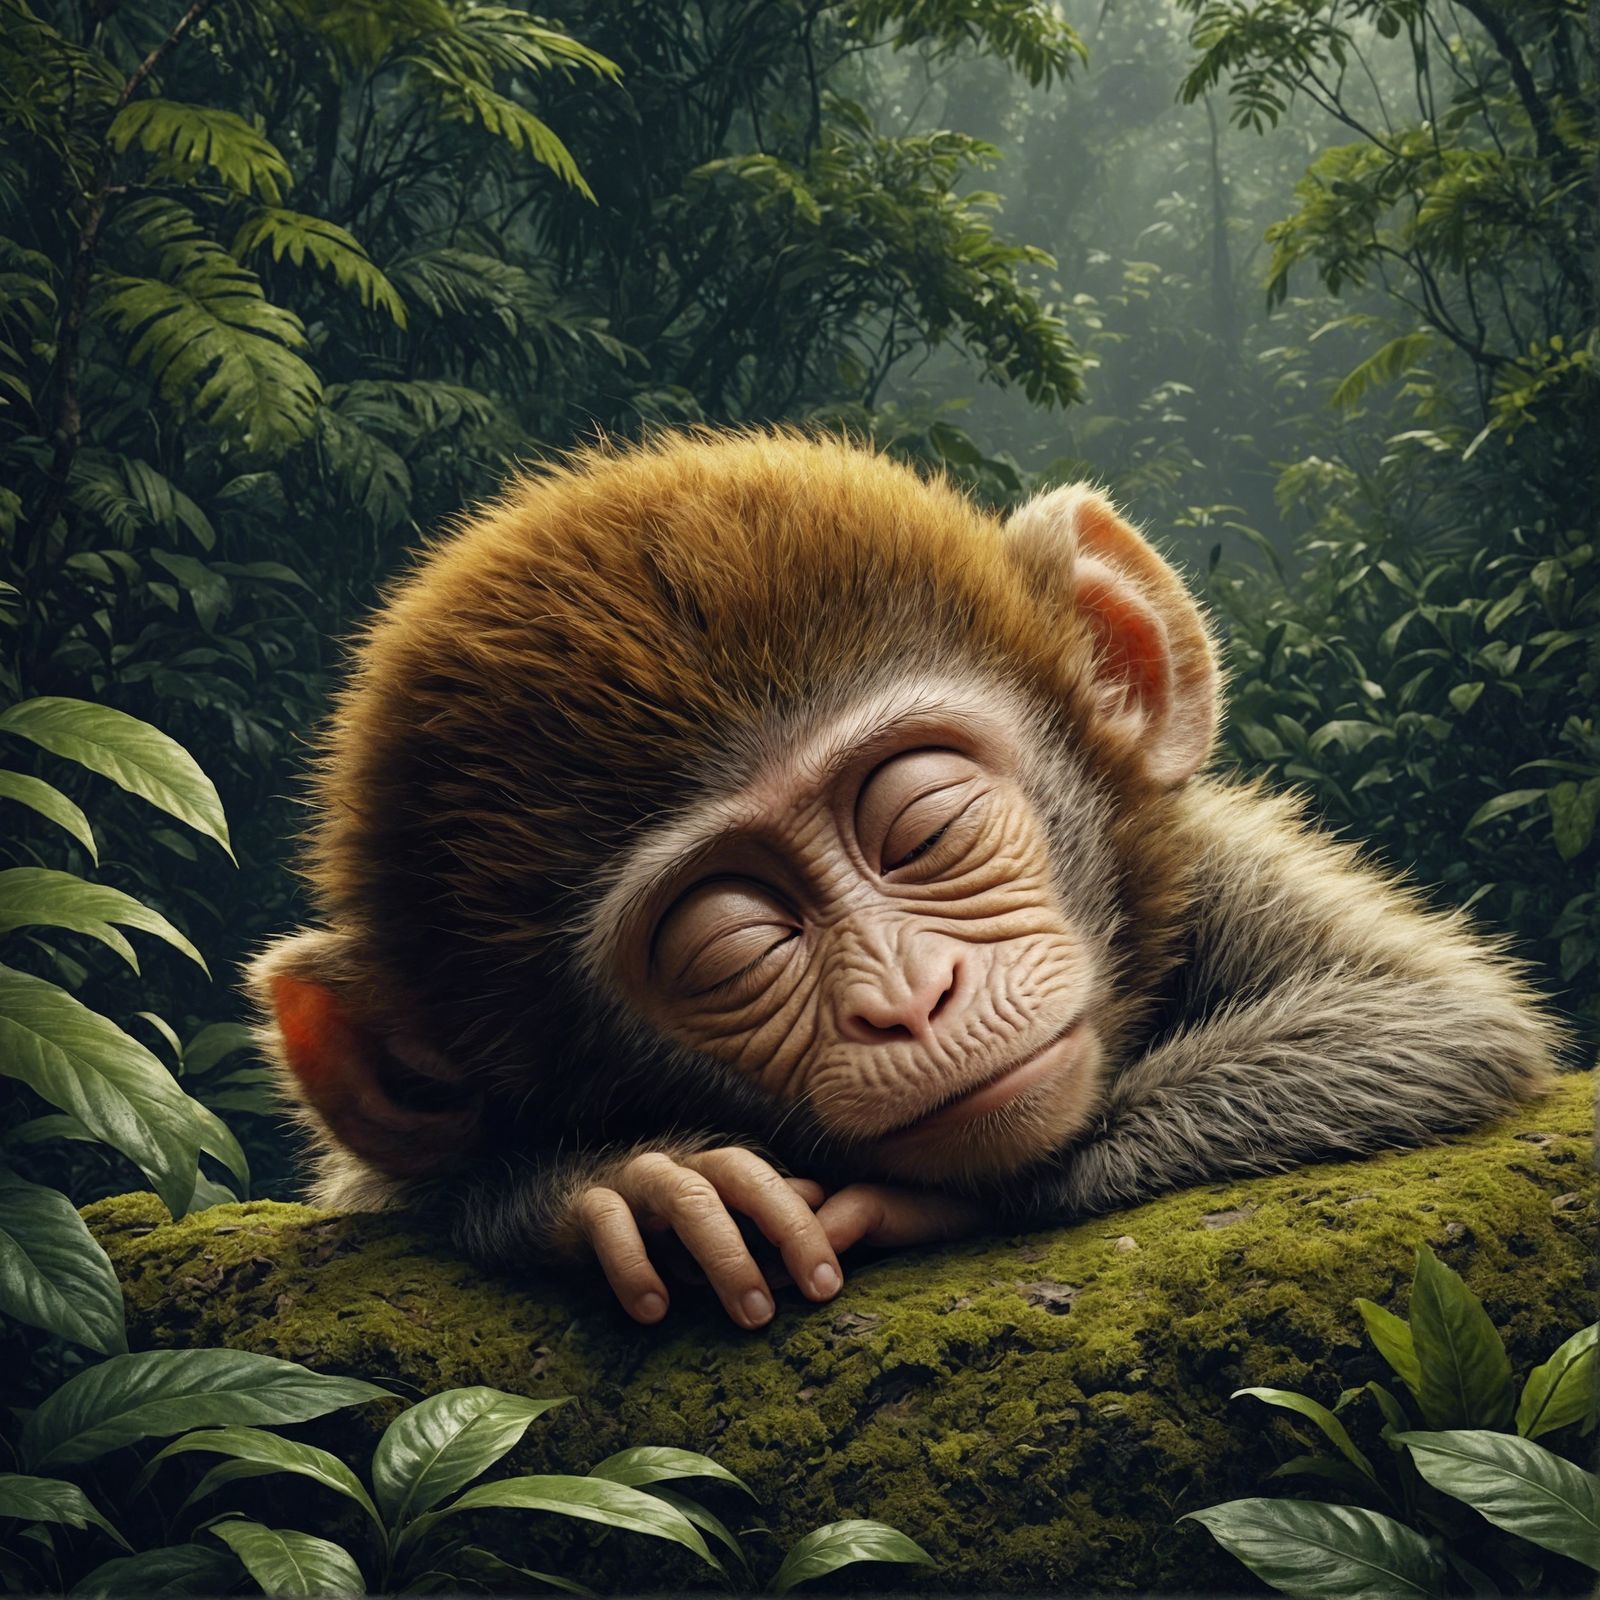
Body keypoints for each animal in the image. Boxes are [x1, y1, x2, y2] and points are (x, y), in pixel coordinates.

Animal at [248, 429, 1559, 1330]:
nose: (912, 996)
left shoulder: (1221, 876)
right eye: (733, 940)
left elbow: (1432, 1029)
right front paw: (628, 1188)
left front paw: (909, 1206)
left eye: (922, 824)